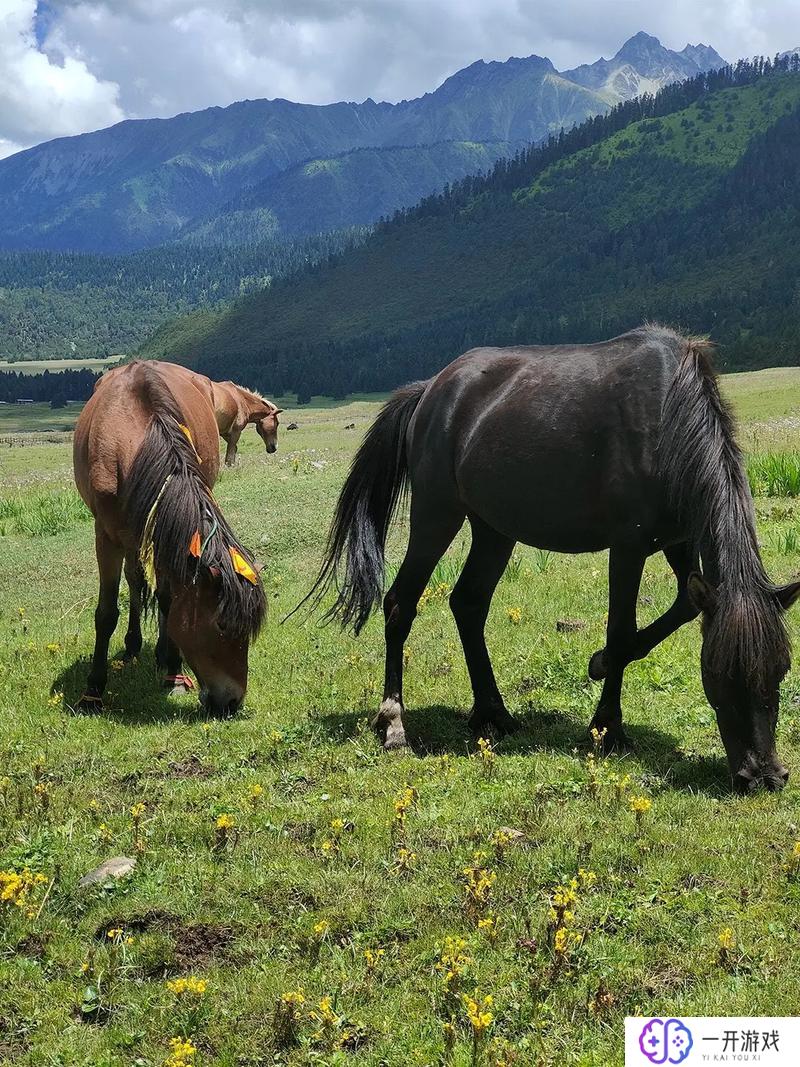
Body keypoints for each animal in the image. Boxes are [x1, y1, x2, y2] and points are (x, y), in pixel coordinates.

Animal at [74, 360, 266, 717]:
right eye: (221, 625)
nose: (232, 702)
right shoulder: (106, 536)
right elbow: (106, 613)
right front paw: (93, 691)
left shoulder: (166, 534)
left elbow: (169, 599)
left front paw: (174, 672)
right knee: (135, 581)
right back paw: (132, 647)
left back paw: (161, 655)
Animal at [311, 328, 800, 798]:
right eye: (719, 672)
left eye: (780, 670)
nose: (763, 776)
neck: (668, 417)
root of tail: (431, 389)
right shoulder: (629, 546)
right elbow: (621, 631)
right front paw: (607, 726)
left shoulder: (680, 540)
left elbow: (681, 606)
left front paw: (598, 665)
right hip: (436, 516)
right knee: (400, 603)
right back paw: (394, 722)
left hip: (494, 530)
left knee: (468, 604)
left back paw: (492, 712)